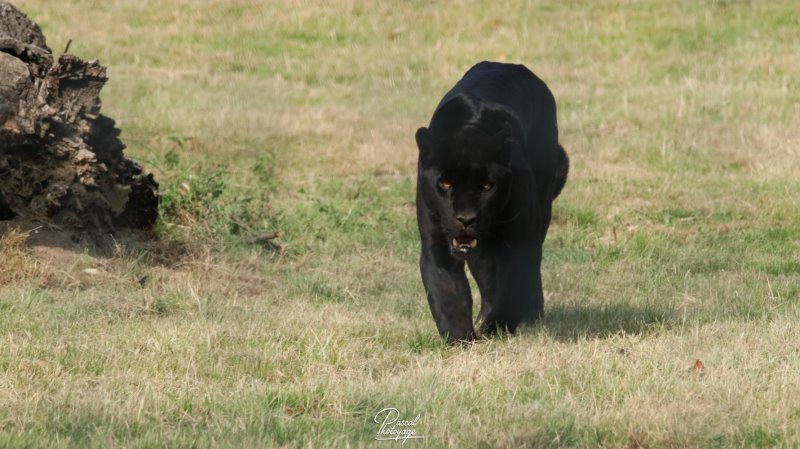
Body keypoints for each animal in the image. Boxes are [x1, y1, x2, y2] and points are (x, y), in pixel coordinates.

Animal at [415, 61, 569, 342]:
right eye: (445, 184)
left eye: (487, 186)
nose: (466, 219)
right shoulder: (436, 243)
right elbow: (447, 293)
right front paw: (461, 339)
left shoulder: (521, 241)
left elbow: (511, 289)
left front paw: (495, 325)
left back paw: (529, 316)